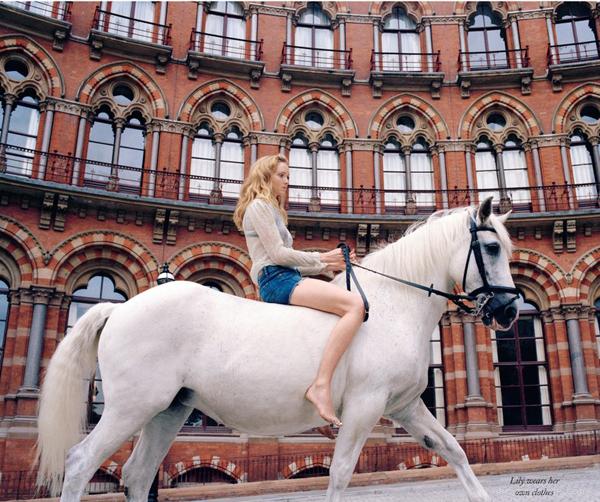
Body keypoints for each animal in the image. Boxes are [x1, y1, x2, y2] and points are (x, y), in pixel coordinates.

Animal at [36, 197, 519, 502]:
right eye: (492, 247)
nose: (510, 310)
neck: (393, 305)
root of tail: (119, 309)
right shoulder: (366, 407)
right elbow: (340, 473)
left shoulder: (403, 406)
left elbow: (454, 450)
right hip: (131, 407)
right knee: (80, 463)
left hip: (167, 411)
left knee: (136, 476)